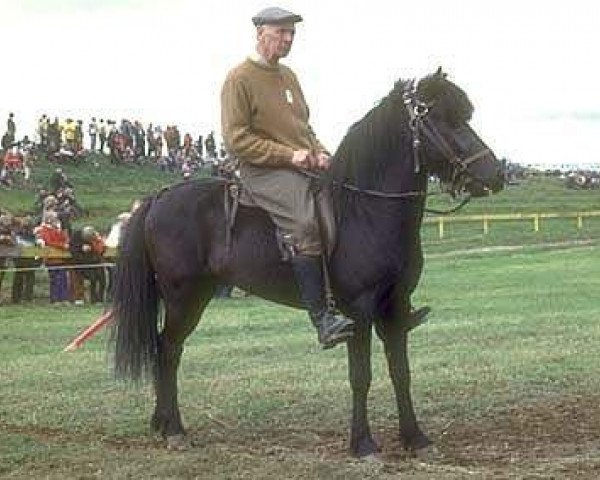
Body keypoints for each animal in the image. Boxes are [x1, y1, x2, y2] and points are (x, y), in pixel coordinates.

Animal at [110, 69, 504, 456]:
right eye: (442, 118)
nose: (496, 174)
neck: (364, 211)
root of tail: (157, 198)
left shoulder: (394, 306)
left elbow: (401, 372)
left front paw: (415, 438)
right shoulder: (360, 310)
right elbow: (361, 377)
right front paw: (363, 443)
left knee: (164, 349)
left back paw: (161, 422)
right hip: (183, 298)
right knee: (168, 350)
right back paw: (173, 428)